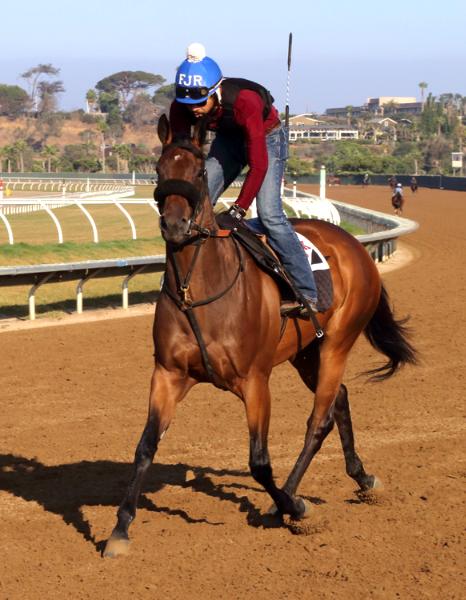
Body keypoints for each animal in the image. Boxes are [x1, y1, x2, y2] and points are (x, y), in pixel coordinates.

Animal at [104, 116, 416, 556]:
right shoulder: (167, 374)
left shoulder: (255, 381)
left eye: (199, 173)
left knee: (319, 420)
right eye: (159, 170)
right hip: (306, 352)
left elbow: (259, 461)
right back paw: (361, 477)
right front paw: (120, 529)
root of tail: (354, 245)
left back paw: (288, 500)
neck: (197, 291)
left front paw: (297, 508)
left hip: (338, 341)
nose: (175, 226)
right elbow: (145, 446)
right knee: (339, 400)